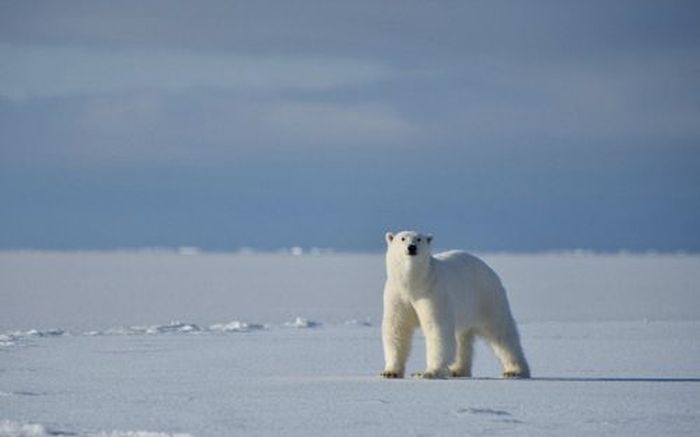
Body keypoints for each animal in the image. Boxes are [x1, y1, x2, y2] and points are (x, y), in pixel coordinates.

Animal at [382, 232, 532, 378]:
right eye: (402, 238)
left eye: (419, 239)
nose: (412, 247)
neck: (414, 285)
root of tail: (489, 269)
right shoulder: (397, 296)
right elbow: (397, 329)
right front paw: (390, 372)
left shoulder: (433, 293)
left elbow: (437, 329)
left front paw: (428, 372)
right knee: (462, 338)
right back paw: (458, 370)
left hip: (487, 297)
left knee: (501, 333)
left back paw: (515, 370)